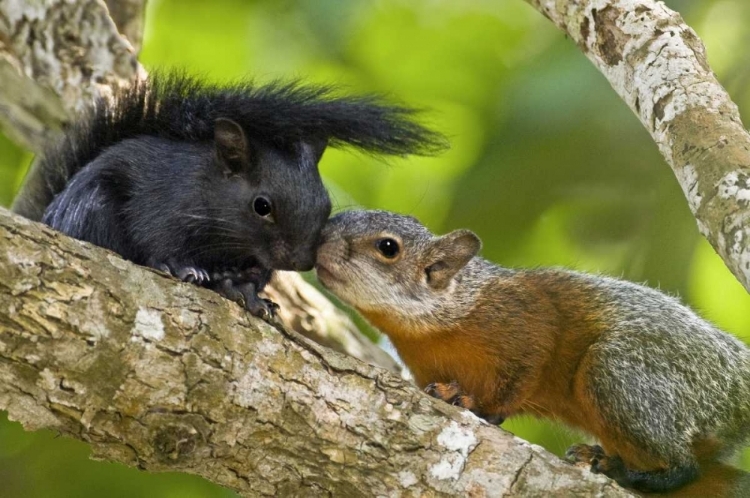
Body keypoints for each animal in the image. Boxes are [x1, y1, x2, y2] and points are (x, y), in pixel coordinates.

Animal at [11, 72, 444, 318]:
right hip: (91, 207)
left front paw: (250, 293)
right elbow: (155, 240)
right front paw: (180, 267)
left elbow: (255, 276)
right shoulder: (161, 204)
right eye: (261, 206)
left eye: (325, 205)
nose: (302, 261)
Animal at [318, 209, 750, 494]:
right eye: (335, 217)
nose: (319, 241)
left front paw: (476, 406)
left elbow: (524, 372)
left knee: (685, 467)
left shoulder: (526, 318)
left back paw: (626, 472)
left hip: (625, 373)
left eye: (387, 247)